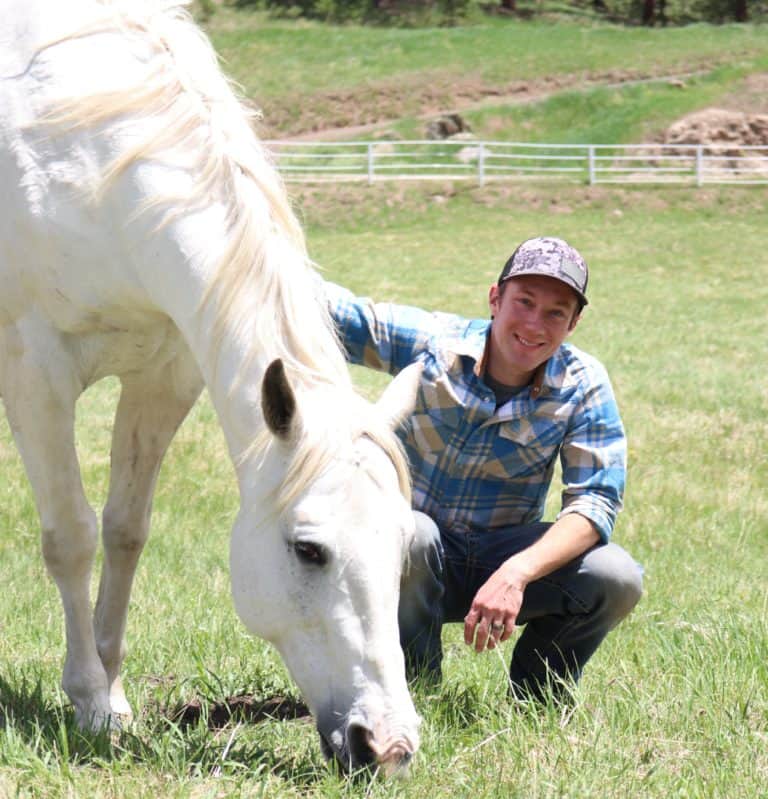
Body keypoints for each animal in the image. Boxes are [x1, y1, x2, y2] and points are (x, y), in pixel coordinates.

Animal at [0, 0, 421, 773]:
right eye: (308, 549)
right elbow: (71, 536)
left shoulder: (165, 374)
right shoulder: (35, 372)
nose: (387, 746)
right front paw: (88, 699)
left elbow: (125, 530)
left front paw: (114, 692)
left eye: (404, 546)